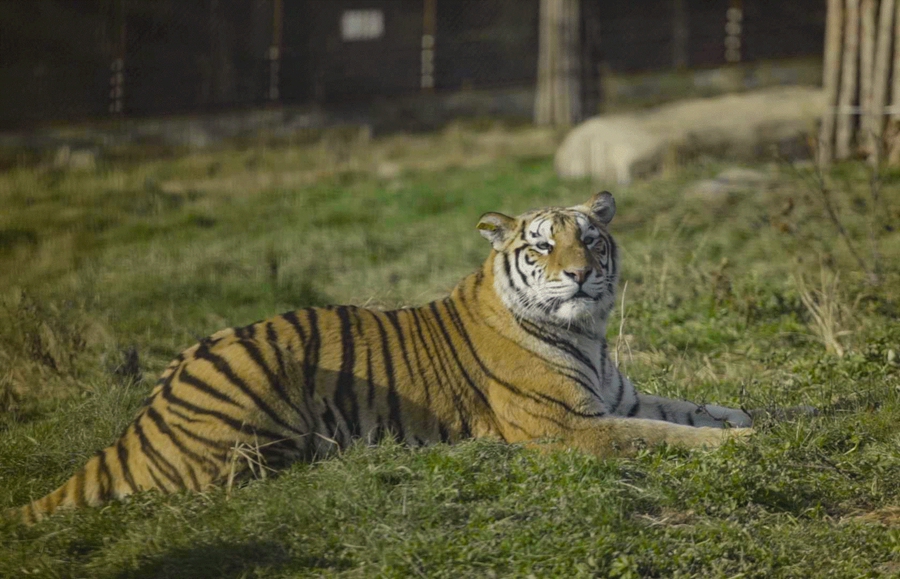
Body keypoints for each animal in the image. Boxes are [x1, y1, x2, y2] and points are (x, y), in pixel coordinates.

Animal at [8, 191, 752, 524]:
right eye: (542, 246)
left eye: (591, 240)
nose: (579, 275)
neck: (587, 334)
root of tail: (140, 418)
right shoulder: (565, 427)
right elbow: (658, 435)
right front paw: (738, 447)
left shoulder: (619, 397)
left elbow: (704, 409)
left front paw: (759, 424)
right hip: (259, 412)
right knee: (240, 478)